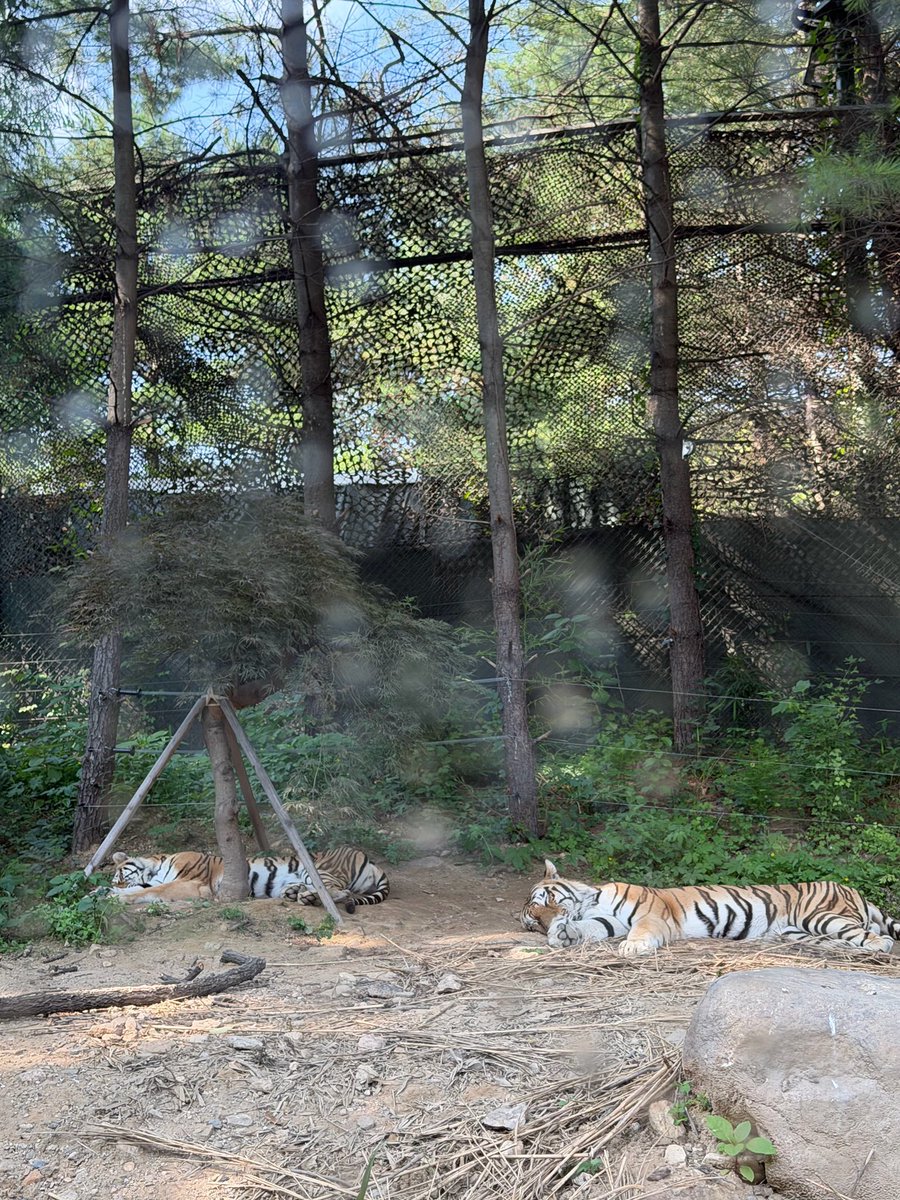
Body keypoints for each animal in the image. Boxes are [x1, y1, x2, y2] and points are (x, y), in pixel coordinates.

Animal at [521, 859, 900, 956]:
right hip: (802, 931)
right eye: (533, 923)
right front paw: (564, 935)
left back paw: (878, 947)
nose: (547, 924)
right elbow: (591, 929)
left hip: (823, 915)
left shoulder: (652, 915)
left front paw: (633, 947)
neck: (591, 900)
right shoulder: (608, 921)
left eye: (548, 901)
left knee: (878, 938)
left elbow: (640, 931)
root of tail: (854, 889)